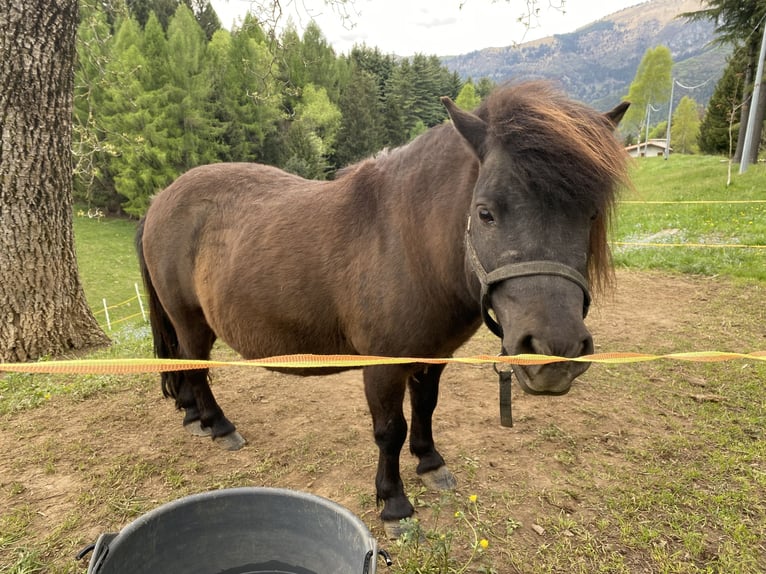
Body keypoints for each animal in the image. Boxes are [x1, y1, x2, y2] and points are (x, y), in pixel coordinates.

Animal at [136, 83, 632, 536]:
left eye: (590, 215)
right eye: (486, 212)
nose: (554, 354)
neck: (407, 243)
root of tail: (159, 199)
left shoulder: (433, 355)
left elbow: (426, 407)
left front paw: (430, 462)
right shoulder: (382, 364)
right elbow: (390, 429)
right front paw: (394, 503)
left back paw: (193, 416)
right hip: (189, 320)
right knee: (195, 365)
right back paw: (218, 425)